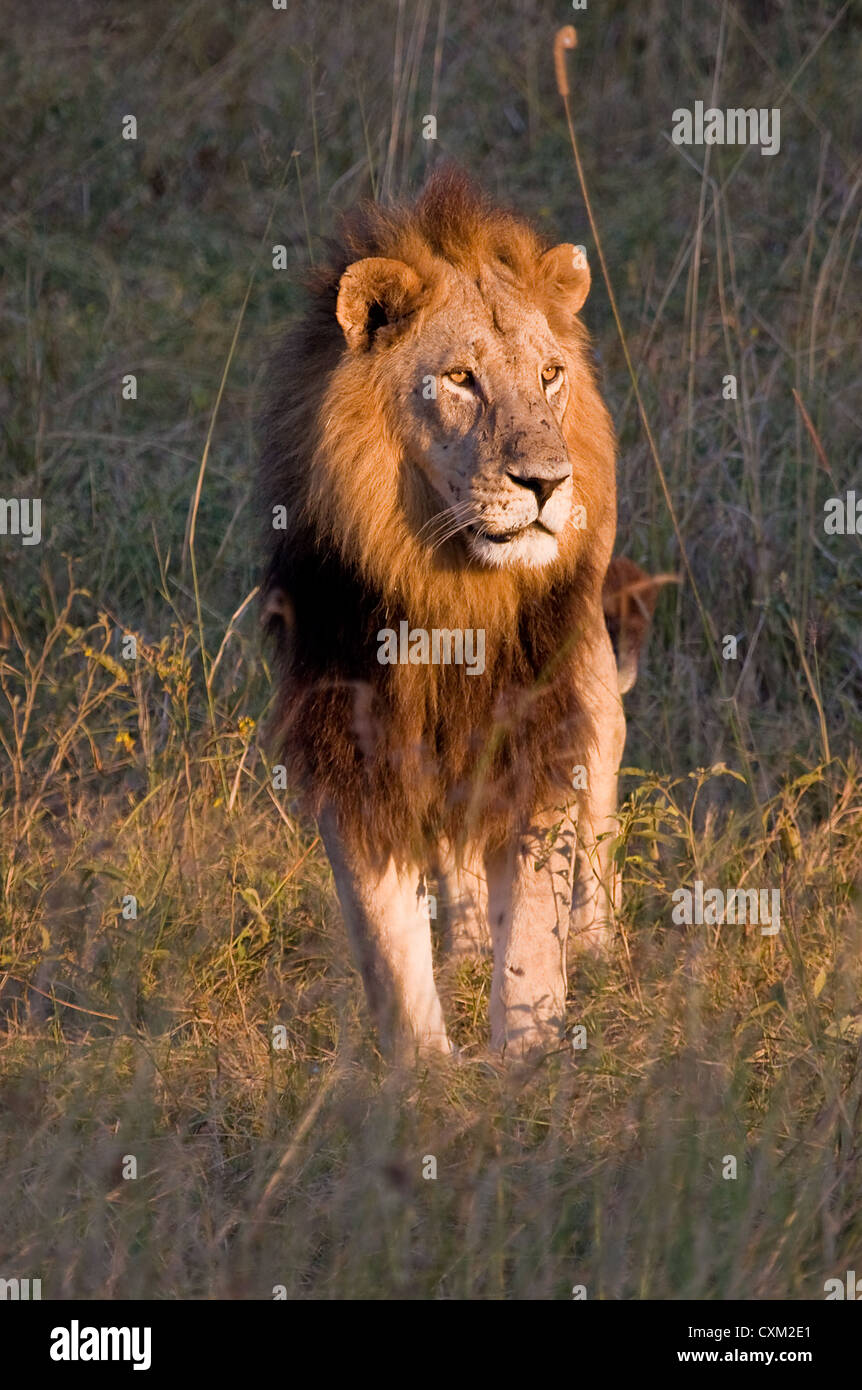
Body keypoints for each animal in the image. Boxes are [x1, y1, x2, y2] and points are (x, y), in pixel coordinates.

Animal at [260, 167, 660, 1059]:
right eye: (460, 380)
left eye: (548, 375)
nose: (547, 482)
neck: (451, 587)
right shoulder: (354, 745)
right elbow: (387, 939)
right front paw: (424, 1071)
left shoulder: (536, 728)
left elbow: (536, 925)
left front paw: (527, 1055)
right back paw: (470, 944)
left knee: (601, 787)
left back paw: (599, 943)